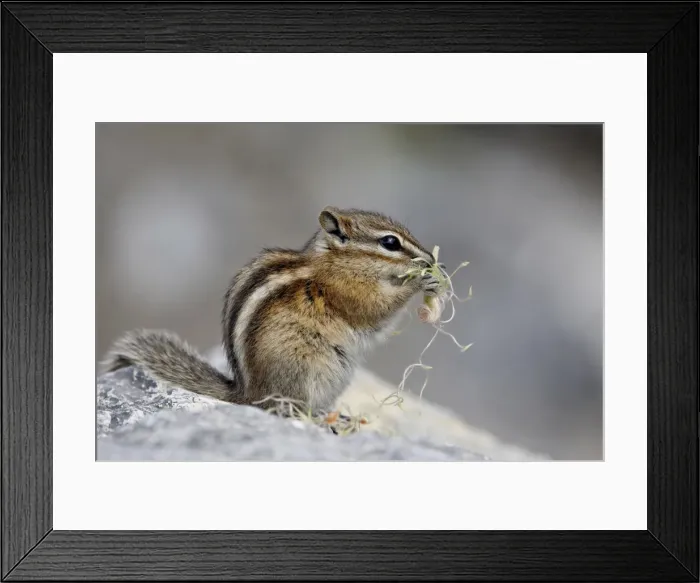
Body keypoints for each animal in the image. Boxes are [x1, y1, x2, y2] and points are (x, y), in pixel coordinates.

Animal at [103, 206, 440, 414]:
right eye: (390, 242)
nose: (431, 259)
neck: (335, 262)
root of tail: (247, 395)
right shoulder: (347, 291)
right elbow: (375, 310)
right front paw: (421, 281)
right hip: (305, 368)